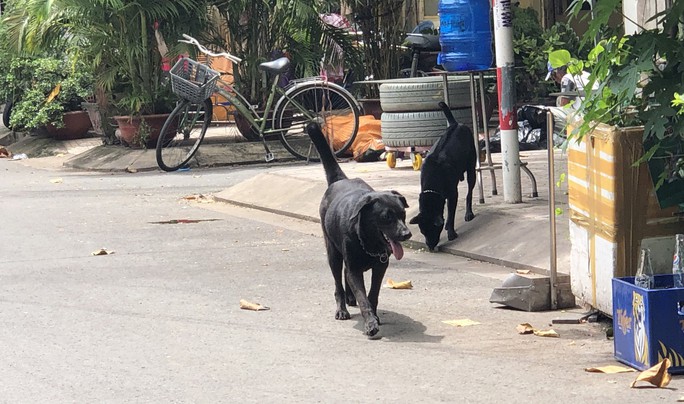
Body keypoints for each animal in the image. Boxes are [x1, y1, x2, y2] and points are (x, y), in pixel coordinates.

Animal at [306, 122, 412, 338]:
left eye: (403, 214)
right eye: (386, 217)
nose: (407, 234)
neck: (367, 241)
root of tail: (339, 179)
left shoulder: (381, 267)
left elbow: (372, 294)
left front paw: (374, 315)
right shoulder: (354, 268)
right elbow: (363, 297)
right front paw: (370, 323)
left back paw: (349, 298)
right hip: (332, 253)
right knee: (338, 282)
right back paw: (342, 308)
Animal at [412, 102, 476, 249]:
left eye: (434, 230)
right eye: (422, 231)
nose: (430, 247)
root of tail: (455, 124)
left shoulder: (453, 194)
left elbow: (451, 213)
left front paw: (451, 232)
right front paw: (447, 225)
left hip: (471, 169)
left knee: (469, 192)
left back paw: (469, 213)